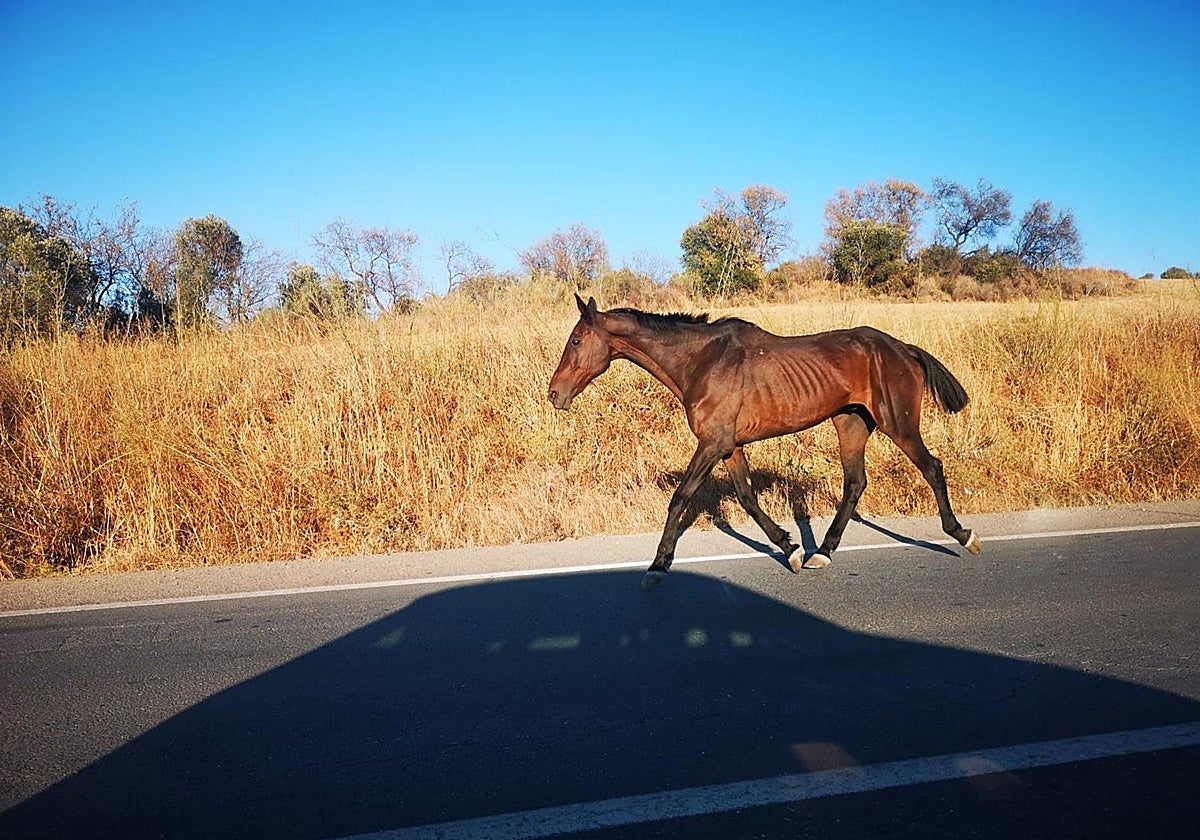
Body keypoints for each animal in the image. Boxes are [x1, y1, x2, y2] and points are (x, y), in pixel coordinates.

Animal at [548, 294, 981, 589]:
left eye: (575, 340)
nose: (554, 394)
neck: (702, 362)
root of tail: (903, 348)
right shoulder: (729, 446)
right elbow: (747, 497)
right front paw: (790, 548)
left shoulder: (711, 444)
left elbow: (680, 498)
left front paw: (657, 567)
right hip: (851, 424)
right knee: (855, 483)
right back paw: (822, 552)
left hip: (899, 424)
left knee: (931, 468)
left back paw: (964, 535)